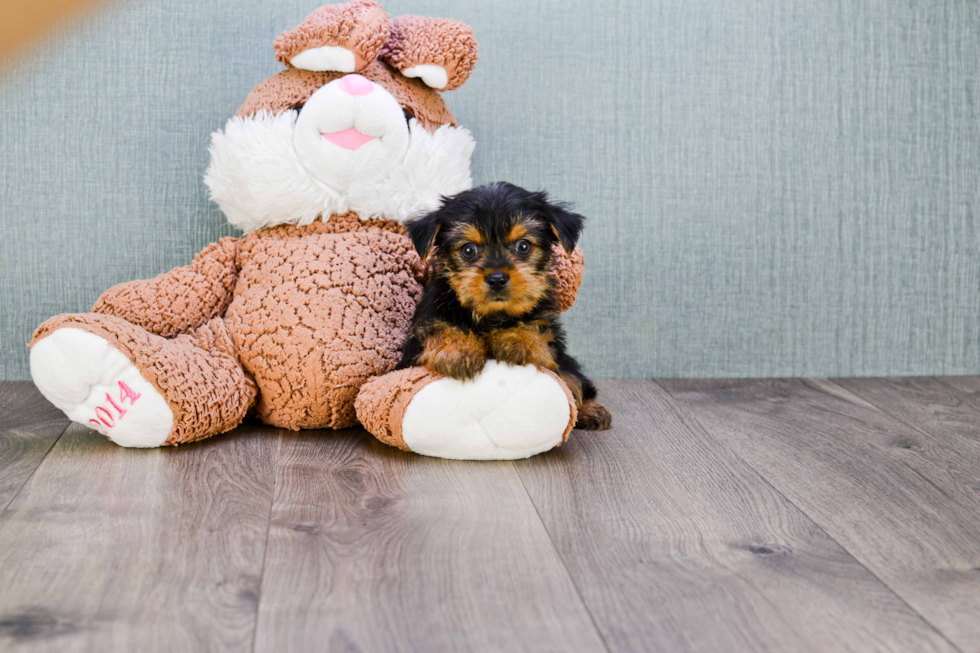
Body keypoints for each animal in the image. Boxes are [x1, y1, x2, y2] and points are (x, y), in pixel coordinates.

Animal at [396, 181, 612, 430]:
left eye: (523, 246)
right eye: (468, 249)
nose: (497, 278)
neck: (492, 315)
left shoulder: (545, 327)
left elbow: (536, 328)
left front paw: (516, 339)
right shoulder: (421, 330)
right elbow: (436, 326)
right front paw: (458, 351)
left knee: (573, 378)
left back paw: (591, 410)